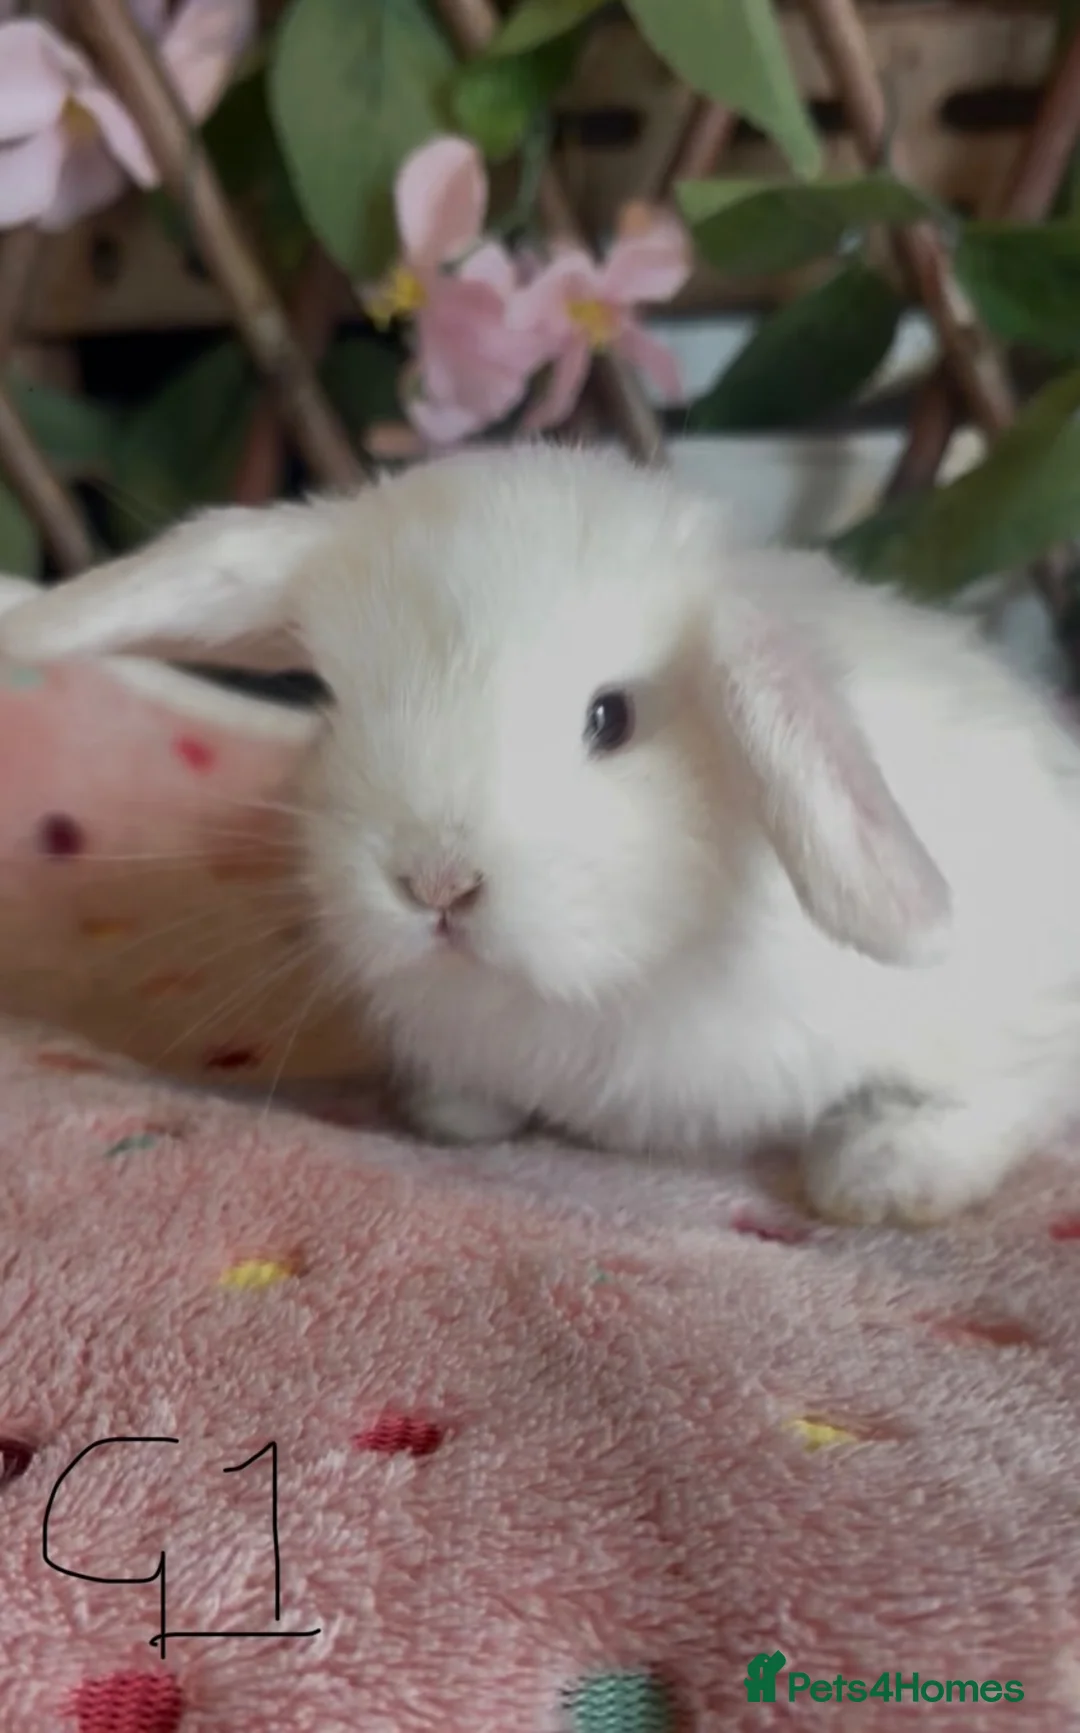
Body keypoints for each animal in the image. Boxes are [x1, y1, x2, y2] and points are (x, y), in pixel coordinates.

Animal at [4, 441, 1080, 1227]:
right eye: (334, 704)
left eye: (613, 717)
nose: (437, 882)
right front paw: (453, 1113)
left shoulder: (1001, 1017)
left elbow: (1004, 1093)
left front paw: (883, 1177)